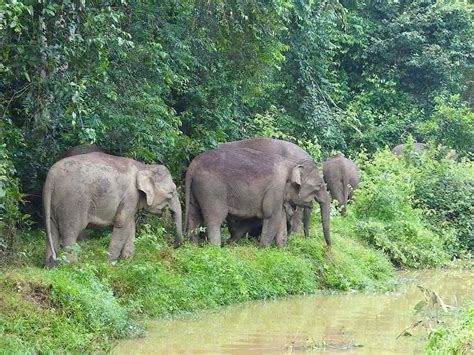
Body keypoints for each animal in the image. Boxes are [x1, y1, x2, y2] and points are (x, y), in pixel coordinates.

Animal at [42, 152, 181, 268]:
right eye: (171, 193)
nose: (174, 245)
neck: (143, 166)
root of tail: (51, 179)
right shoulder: (131, 195)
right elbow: (122, 223)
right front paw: (110, 265)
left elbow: (130, 224)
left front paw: (127, 261)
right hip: (73, 202)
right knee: (71, 232)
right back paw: (72, 265)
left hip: (54, 203)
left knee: (52, 231)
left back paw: (50, 265)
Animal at [183, 147, 332, 248]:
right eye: (319, 186)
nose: (329, 248)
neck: (292, 163)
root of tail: (193, 165)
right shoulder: (276, 189)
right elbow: (272, 217)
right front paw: (263, 250)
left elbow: (280, 220)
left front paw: (282, 250)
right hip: (212, 191)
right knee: (215, 219)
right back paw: (216, 249)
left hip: (197, 190)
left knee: (194, 216)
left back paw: (193, 246)